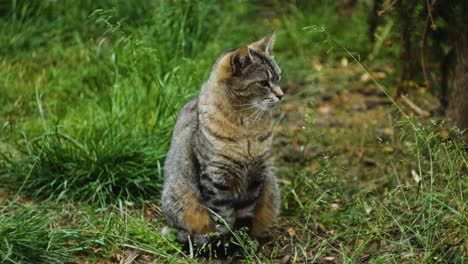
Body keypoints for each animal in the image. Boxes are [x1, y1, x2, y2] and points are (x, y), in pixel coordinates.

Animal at [163, 31, 284, 248]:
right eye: (263, 83)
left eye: (278, 77)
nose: (281, 94)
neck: (246, 127)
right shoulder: (215, 177)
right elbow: (224, 218)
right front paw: (228, 242)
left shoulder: (255, 176)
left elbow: (245, 214)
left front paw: (244, 241)